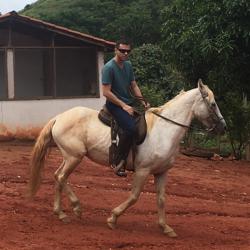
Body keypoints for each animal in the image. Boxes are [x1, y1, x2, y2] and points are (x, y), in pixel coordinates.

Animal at [28, 79, 226, 236]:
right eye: (213, 104)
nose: (223, 127)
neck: (164, 130)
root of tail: (58, 117)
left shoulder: (161, 172)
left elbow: (161, 200)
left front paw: (165, 227)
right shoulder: (143, 170)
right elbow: (134, 196)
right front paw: (113, 218)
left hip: (69, 157)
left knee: (58, 176)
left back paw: (64, 211)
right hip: (74, 157)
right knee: (61, 177)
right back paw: (71, 210)